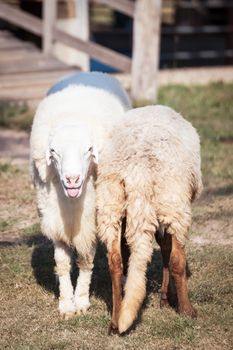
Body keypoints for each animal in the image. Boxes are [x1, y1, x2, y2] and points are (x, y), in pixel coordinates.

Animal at [29, 71, 131, 320]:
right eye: (53, 151)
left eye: (88, 150)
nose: (72, 179)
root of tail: (88, 72)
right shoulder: (55, 220)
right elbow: (62, 263)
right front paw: (66, 303)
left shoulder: (90, 221)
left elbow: (85, 260)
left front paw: (82, 300)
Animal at [96, 104, 202, 334]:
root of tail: (138, 169)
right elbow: (171, 253)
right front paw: (175, 303)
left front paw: (165, 299)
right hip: (173, 200)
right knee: (177, 259)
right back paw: (187, 309)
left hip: (111, 203)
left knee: (115, 261)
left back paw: (116, 321)